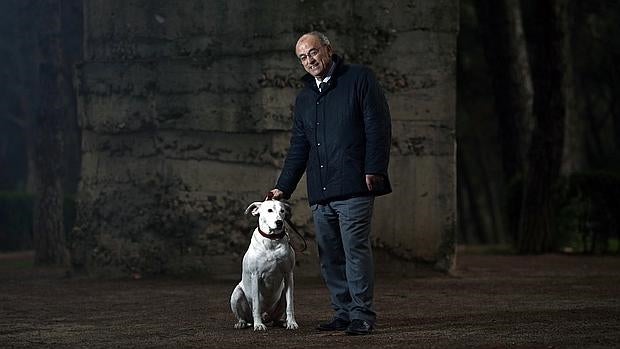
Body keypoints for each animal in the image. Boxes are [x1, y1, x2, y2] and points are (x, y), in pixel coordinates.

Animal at [232, 198, 300, 328]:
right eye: (269, 210)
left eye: (282, 211)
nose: (279, 222)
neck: (272, 240)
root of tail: (267, 317)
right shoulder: (255, 276)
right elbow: (256, 305)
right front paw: (258, 325)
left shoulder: (288, 275)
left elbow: (290, 304)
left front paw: (291, 322)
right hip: (236, 294)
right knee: (242, 315)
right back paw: (242, 323)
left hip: (281, 295)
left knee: (276, 317)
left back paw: (282, 322)